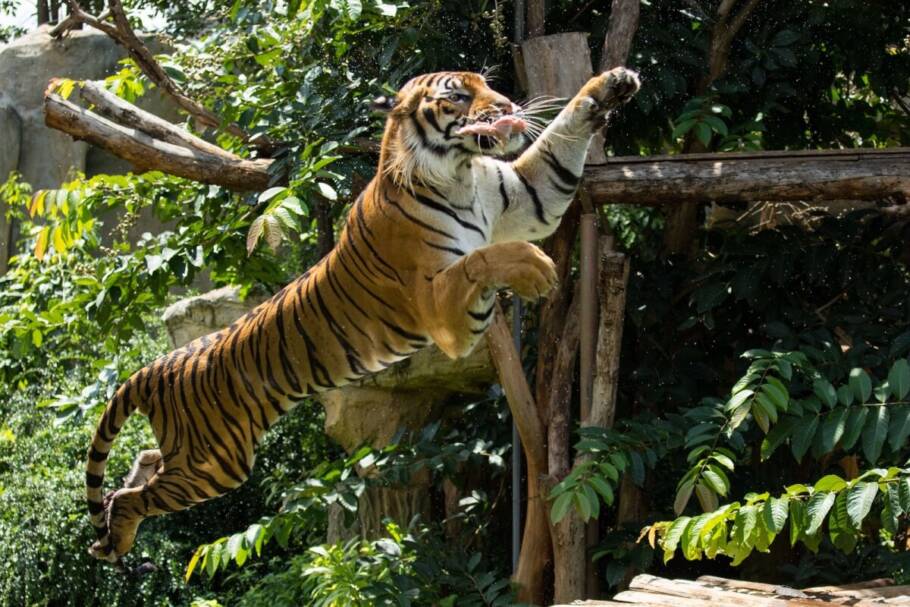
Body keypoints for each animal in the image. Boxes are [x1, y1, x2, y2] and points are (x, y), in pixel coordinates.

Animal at [85, 66, 640, 565]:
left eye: (487, 85)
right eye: (458, 96)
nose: (506, 107)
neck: (461, 173)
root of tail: (158, 366)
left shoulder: (528, 196)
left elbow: (559, 139)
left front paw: (612, 84)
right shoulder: (441, 311)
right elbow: (482, 258)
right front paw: (535, 268)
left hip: (193, 457)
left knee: (140, 465)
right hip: (215, 463)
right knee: (133, 497)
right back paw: (117, 537)